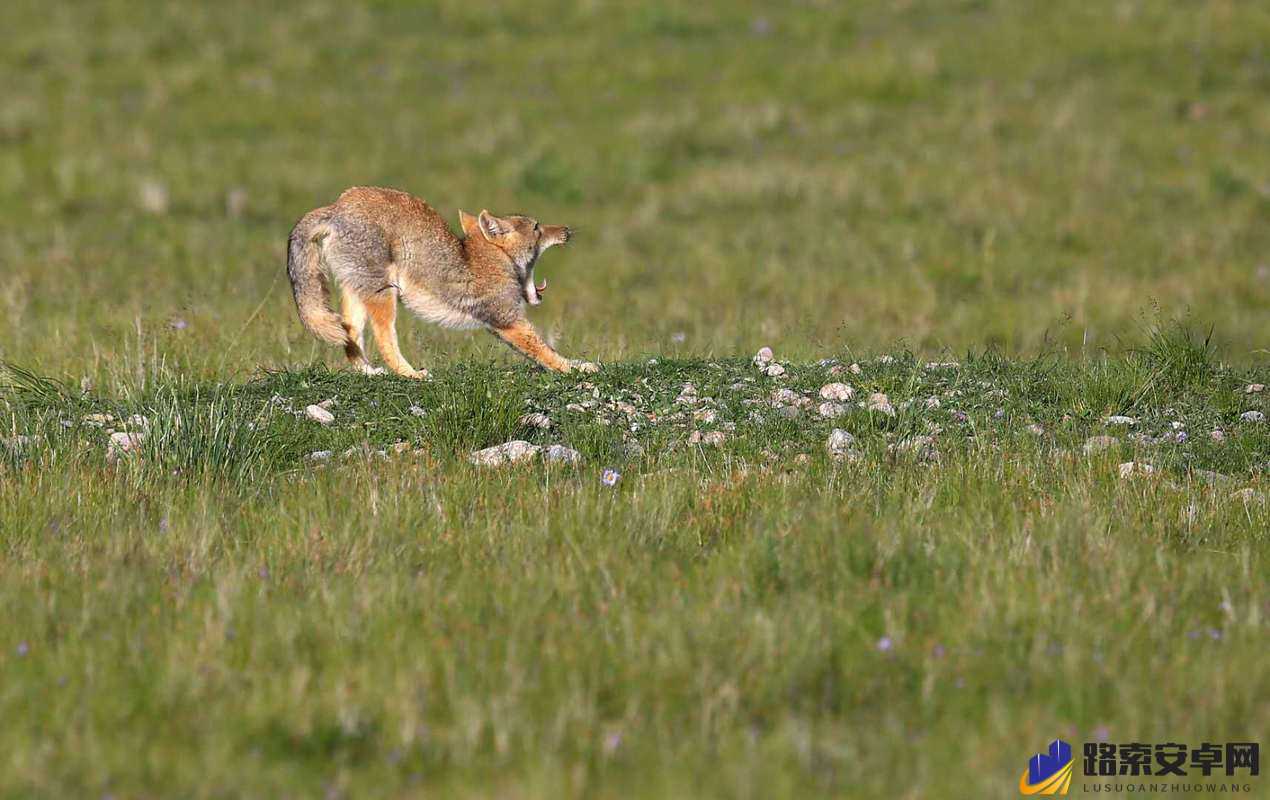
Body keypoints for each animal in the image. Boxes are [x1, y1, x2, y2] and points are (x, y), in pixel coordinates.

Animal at [285, 186, 591, 378]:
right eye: (537, 228)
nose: (567, 230)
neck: (491, 258)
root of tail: (337, 206)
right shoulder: (508, 321)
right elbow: (547, 352)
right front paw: (577, 368)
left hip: (357, 295)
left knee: (351, 338)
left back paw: (369, 373)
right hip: (385, 296)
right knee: (385, 342)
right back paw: (409, 374)